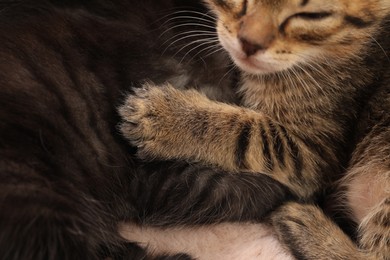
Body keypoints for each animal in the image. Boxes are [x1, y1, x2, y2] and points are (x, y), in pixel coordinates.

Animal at [120, 0, 388, 258]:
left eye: (314, 15)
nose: (248, 44)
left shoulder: (316, 155)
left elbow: (250, 133)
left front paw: (165, 117)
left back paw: (306, 226)